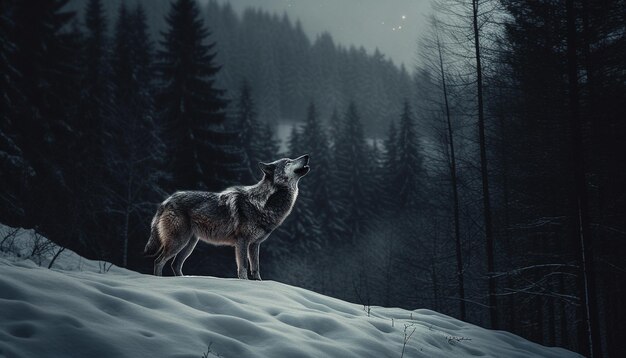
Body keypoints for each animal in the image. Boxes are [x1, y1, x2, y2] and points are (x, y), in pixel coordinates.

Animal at [141, 154, 308, 280]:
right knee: (159, 261)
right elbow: (243, 268)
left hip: (189, 244)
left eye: (291, 159)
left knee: (175, 265)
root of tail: (167, 200)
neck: (264, 202)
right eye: (288, 162)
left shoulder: (254, 245)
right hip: (179, 242)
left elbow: (256, 269)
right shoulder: (242, 242)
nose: (306, 156)